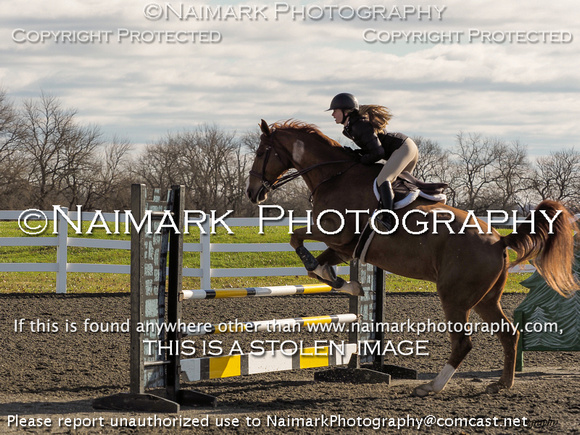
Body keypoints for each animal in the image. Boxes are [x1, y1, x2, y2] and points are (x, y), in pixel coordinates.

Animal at [245, 118, 576, 396]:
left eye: (261, 152)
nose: (252, 193)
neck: (333, 176)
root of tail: (499, 240)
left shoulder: (336, 234)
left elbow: (297, 238)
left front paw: (338, 278)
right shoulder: (344, 247)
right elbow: (319, 267)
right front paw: (349, 285)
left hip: (455, 296)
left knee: (463, 343)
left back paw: (431, 387)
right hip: (485, 299)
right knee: (508, 334)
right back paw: (501, 384)